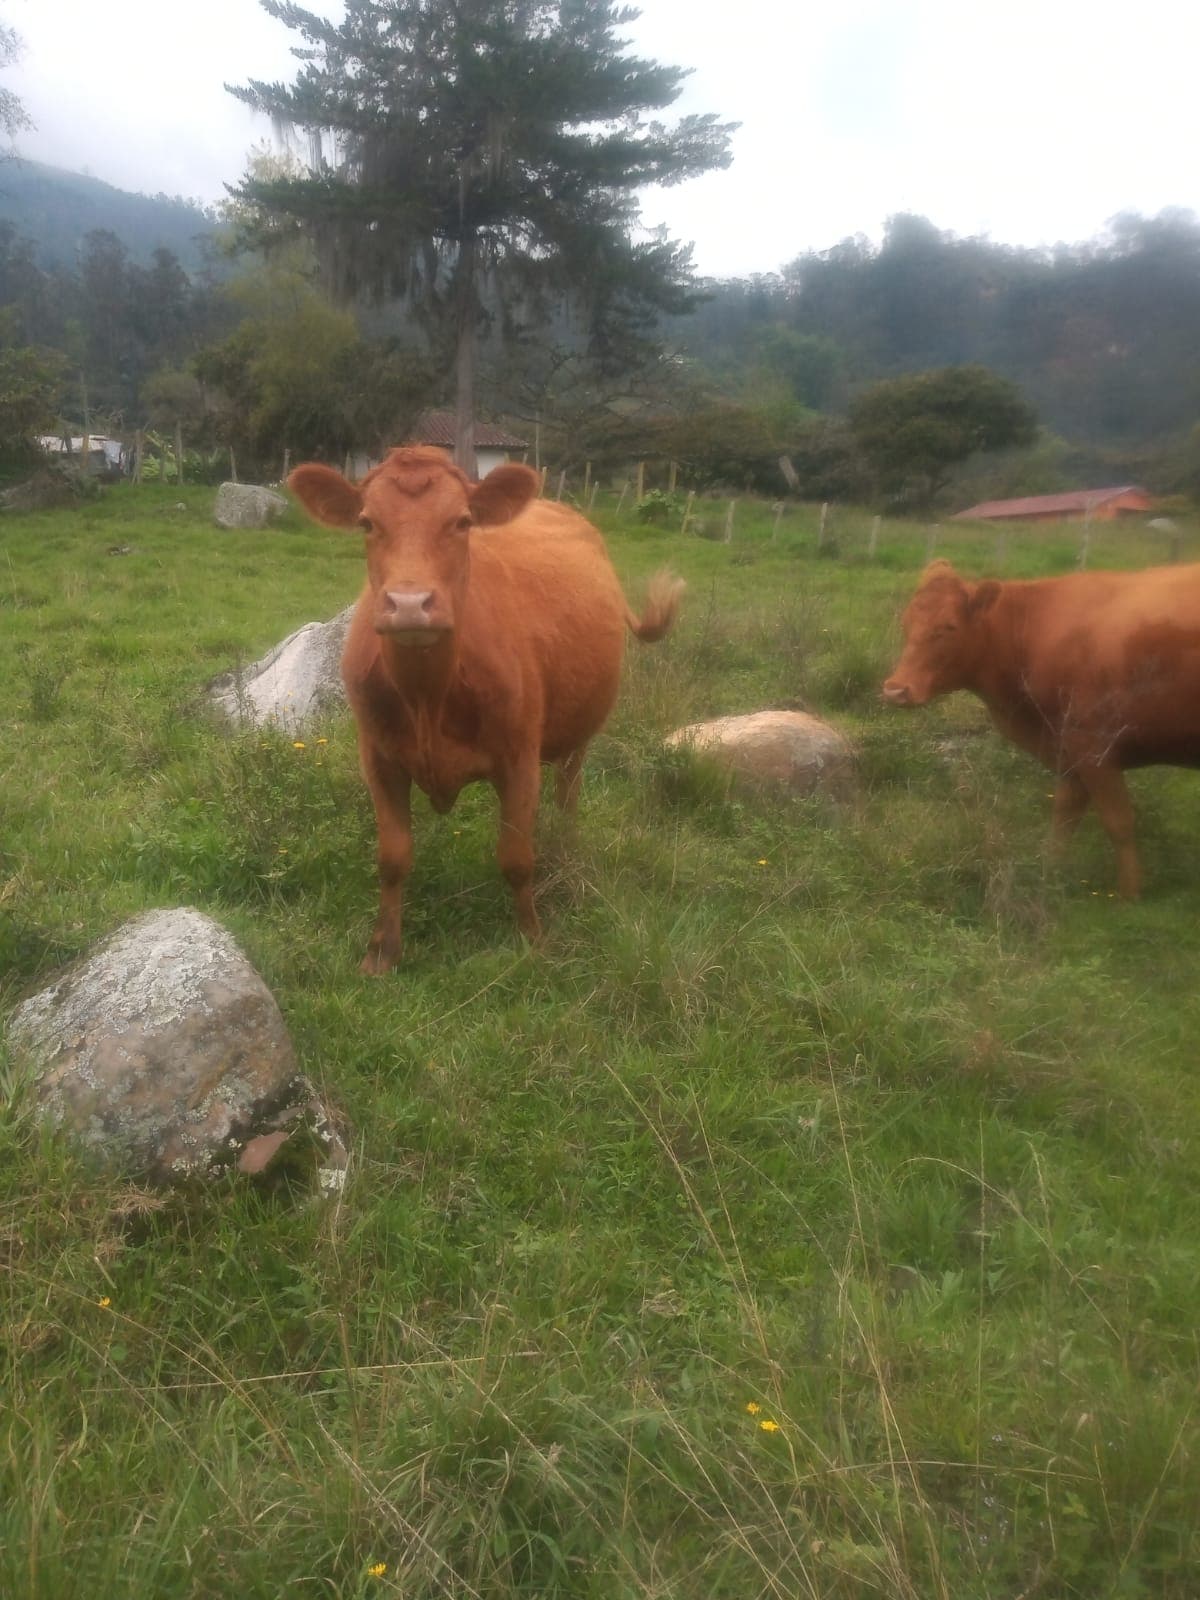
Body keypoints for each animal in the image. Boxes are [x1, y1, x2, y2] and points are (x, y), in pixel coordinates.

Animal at [288, 446, 684, 971]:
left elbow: (516, 857)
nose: (410, 603)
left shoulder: (518, 760)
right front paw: (382, 951)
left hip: (577, 735)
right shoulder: (378, 758)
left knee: (568, 792)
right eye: (367, 522)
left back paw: (565, 850)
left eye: (462, 521)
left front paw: (532, 939)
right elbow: (392, 858)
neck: (427, 698)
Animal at [882, 558, 1200, 899]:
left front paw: (1130, 894)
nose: (895, 689)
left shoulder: (1093, 746)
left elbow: (1119, 821)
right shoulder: (1068, 752)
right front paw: (1051, 869)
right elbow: (1065, 814)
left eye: (948, 627)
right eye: (906, 624)